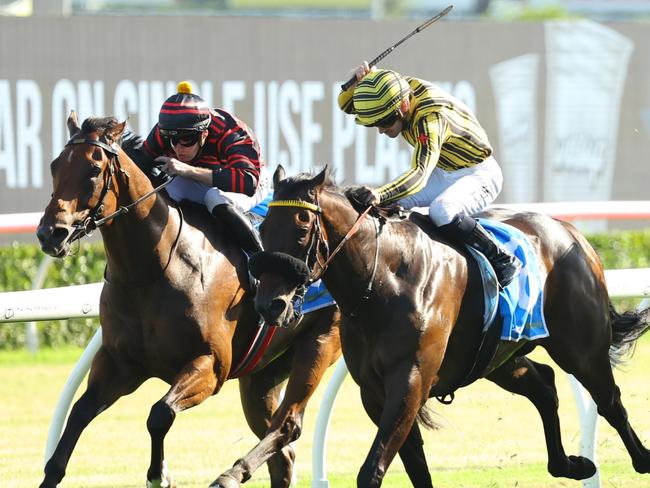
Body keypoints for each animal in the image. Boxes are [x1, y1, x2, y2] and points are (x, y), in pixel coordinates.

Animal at [36, 112, 340, 486]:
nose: (51, 233)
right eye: (55, 165)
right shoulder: (120, 363)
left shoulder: (210, 365)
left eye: (93, 169)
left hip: (320, 344)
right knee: (280, 452)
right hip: (263, 374)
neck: (153, 269)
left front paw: (159, 475)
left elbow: (160, 412)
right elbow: (77, 415)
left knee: (287, 425)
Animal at [251, 166, 648, 486]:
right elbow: (416, 468)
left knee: (609, 401)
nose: (270, 304)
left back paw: (642, 459)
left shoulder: (410, 381)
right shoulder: (374, 391)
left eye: (302, 226)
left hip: (581, 348)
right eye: (264, 226)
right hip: (498, 358)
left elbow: (373, 469)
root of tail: (572, 234)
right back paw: (571, 464)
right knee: (544, 384)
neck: (382, 282)